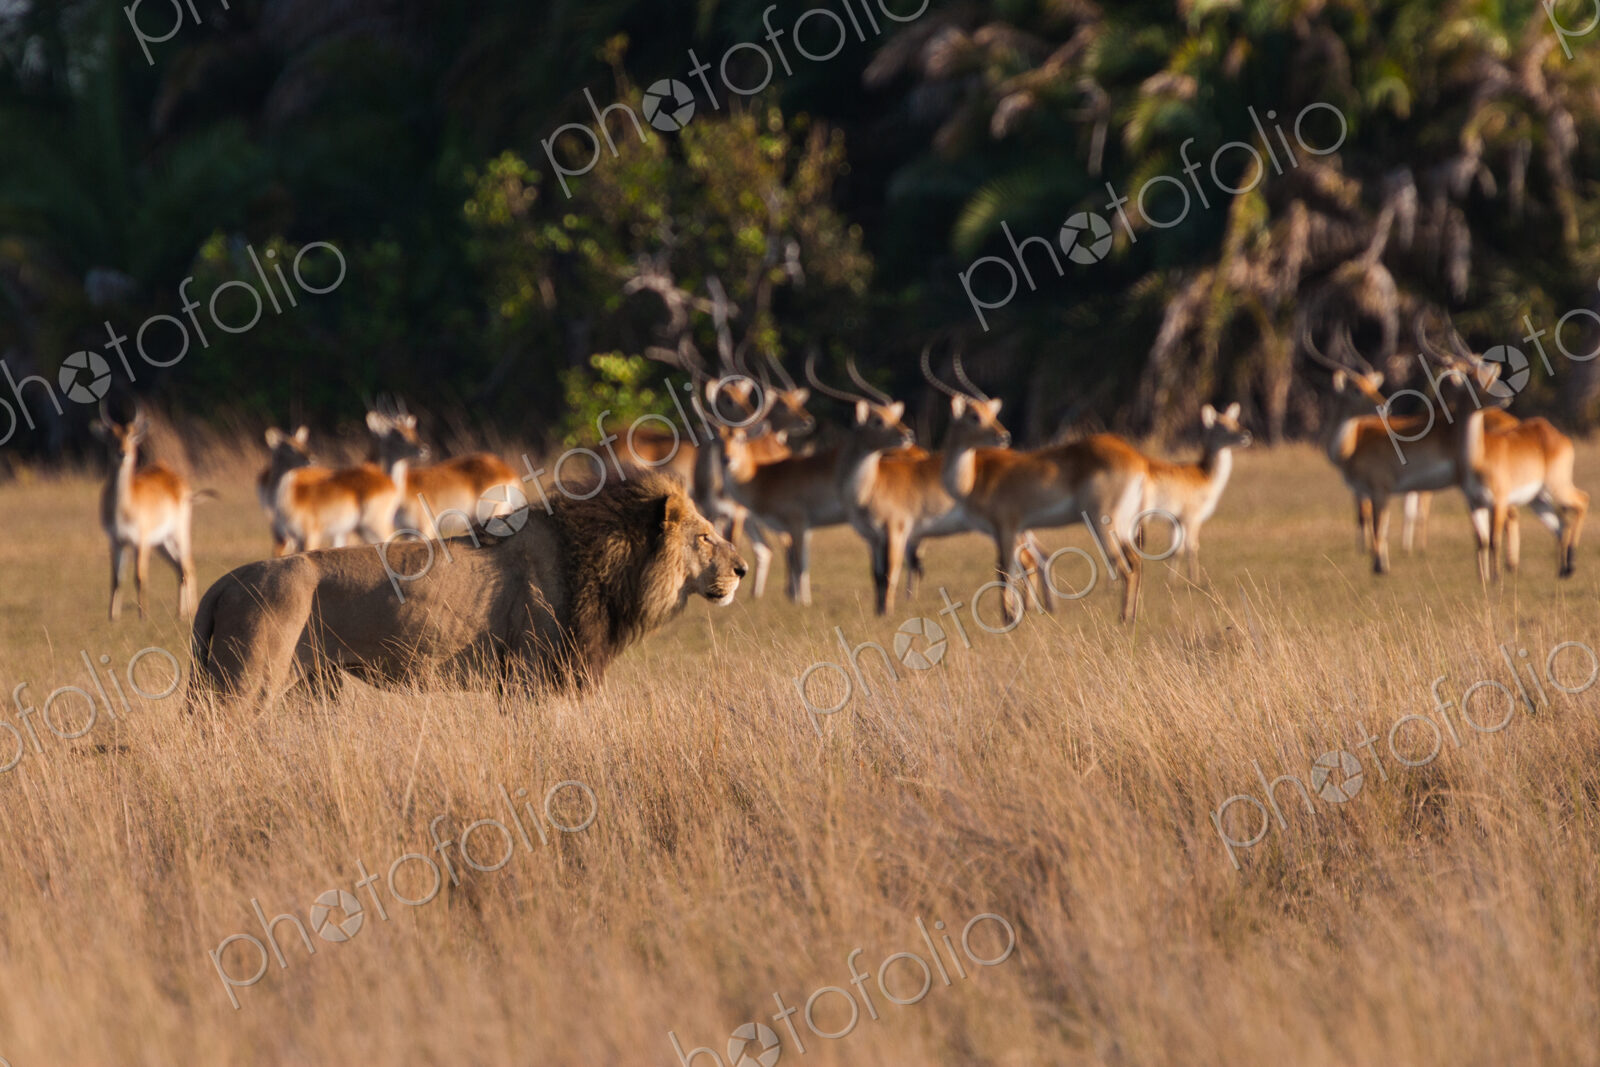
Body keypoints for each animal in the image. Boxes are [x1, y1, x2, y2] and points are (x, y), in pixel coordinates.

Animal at [189, 472, 747, 708]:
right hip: (245, 682)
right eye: (704, 537)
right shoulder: (529, 675)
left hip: (309, 686)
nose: (742, 568)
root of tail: (226, 581)